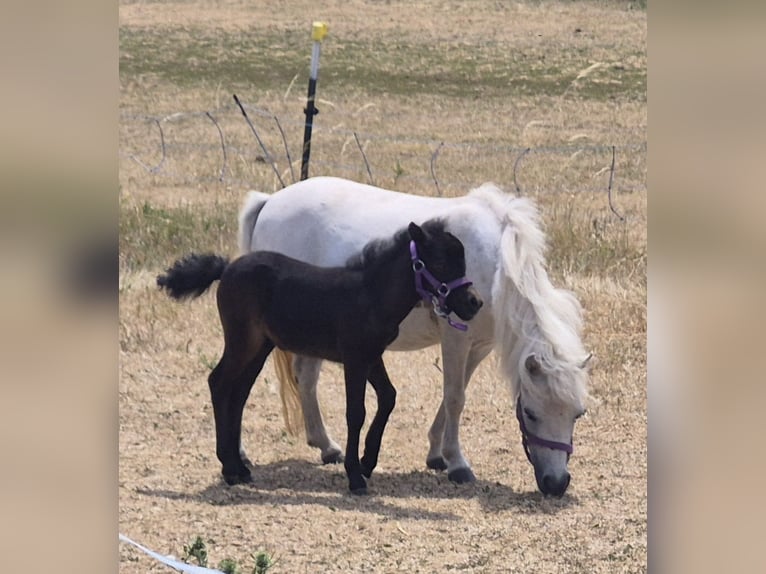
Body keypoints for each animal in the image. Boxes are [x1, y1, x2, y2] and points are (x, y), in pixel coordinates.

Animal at [157, 219, 483, 494]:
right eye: (439, 262)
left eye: (463, 262)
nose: (474, 303)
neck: (371, 295)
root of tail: (226, 268)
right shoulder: (354, 358)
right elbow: (356, 412)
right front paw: (355, 477)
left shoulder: (372, 355)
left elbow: (388, 397)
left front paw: (367, 462)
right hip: (242, 341)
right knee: (219, 383)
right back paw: (228, 467)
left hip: (260, 346)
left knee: (238, 394)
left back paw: (239, 468)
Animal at [238, 177, 591, 497]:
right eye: (530, 413)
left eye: (578, 413)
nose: (556, 484)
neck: (497, 261)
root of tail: (269, 201)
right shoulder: (455, 339)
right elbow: (455, 397)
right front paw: (457, 463)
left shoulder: (479, 345)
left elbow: (455, 394)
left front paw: (437, 455)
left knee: (306, 377)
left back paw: (327, 447)